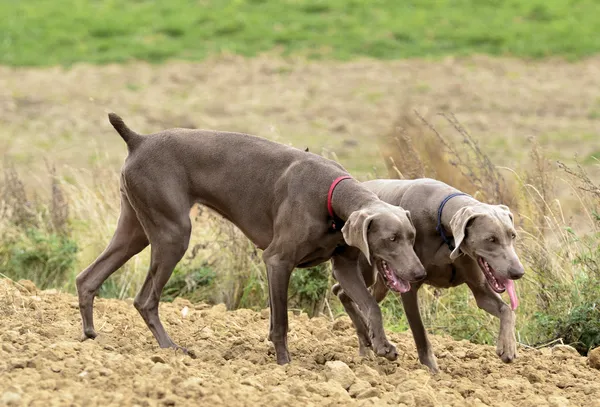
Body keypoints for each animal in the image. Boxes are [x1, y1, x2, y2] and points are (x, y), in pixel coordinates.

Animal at [74, 113, 426, 364]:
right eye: (391, 238)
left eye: (411, 237)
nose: (419, 273)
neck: (332, 196)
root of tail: (138, 140)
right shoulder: (278, 260)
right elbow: (281, 321)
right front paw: (285, 365)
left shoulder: (345, 267)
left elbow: (371, 306)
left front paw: (384, 347)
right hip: (173, 234)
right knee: (145, 300)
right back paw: (171, 349)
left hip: (136, 229)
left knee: (87, 278)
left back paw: (91, 335)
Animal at [332, 178, 524, 372]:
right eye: (491, 239)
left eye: (512, 235)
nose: (518, 272)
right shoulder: (410, 287)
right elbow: (420, 333)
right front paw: (432, 372)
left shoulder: (479, 288)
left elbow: (507, 310)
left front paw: (508, 347)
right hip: (365, 267)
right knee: (341, 290)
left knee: (348, 293)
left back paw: (366, 344)